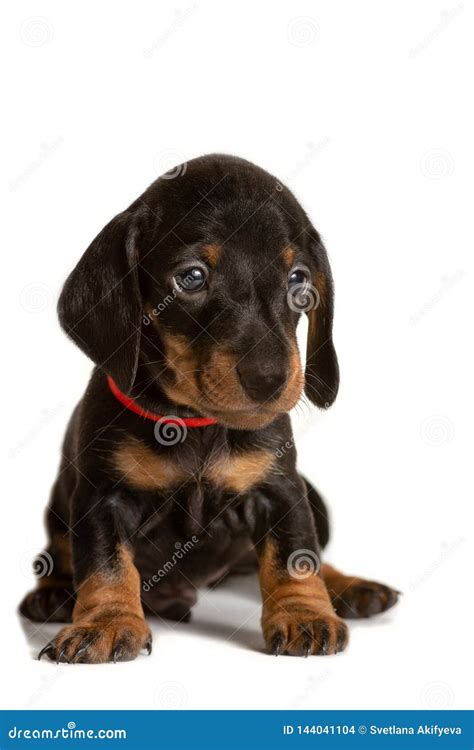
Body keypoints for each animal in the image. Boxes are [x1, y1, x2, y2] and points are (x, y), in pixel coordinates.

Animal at [20, 153, 398, 664]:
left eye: (299, 280)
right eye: (192, 277)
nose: (269, 380)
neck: (196, 423)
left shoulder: (280, 489)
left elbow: (296, 556)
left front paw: (303, 614)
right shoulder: (103, 497)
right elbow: (105, 565)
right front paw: (107, 623)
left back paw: (350, 587)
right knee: (59, 553)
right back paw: (55, 593)